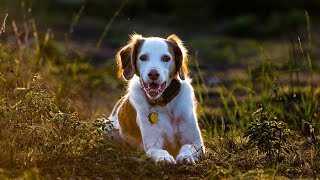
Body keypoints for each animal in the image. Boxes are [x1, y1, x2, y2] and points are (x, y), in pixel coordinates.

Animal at [107, 34, 205, 165]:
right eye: (143, 57)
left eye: (166, 58)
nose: (153, 74)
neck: (164, 103)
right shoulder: (152, 145)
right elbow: (160, 151)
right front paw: (165, 158)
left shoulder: (197, 143)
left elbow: (187, 146)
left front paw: (185, 156)